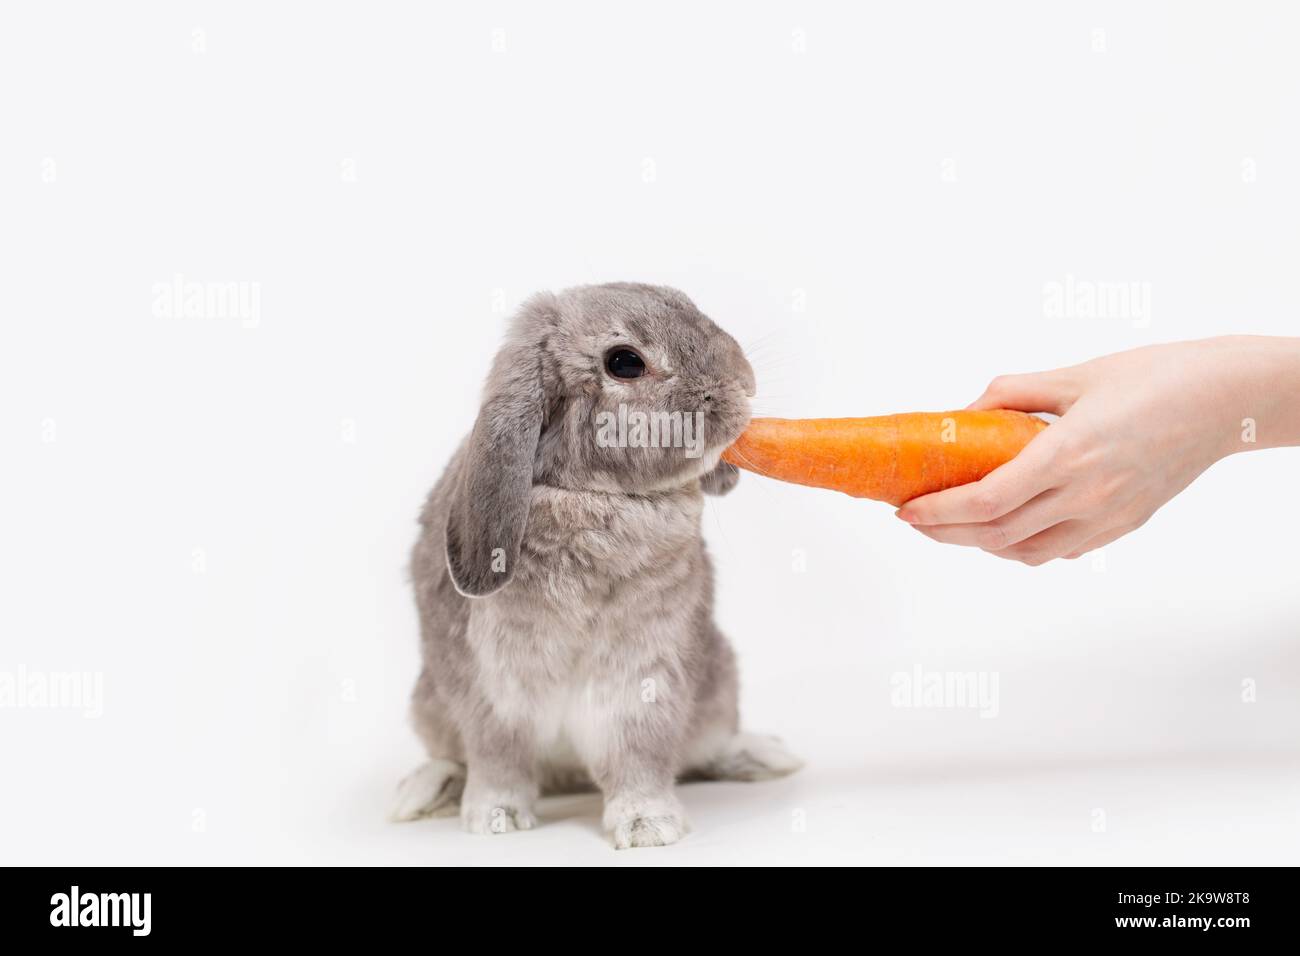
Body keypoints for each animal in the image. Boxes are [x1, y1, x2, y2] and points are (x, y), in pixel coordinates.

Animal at [390, 280, 800, 848]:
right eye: (624, 362)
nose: (745, 383)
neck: (592, 495)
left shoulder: (644, 676)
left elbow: (636, 756)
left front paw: (649, 827)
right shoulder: (492, 689)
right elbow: (499, 760)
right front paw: (496, 819)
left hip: (719, 682)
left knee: (709, 746)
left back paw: (766, 754)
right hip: (426, 702)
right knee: (451, 755)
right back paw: (422, 791)